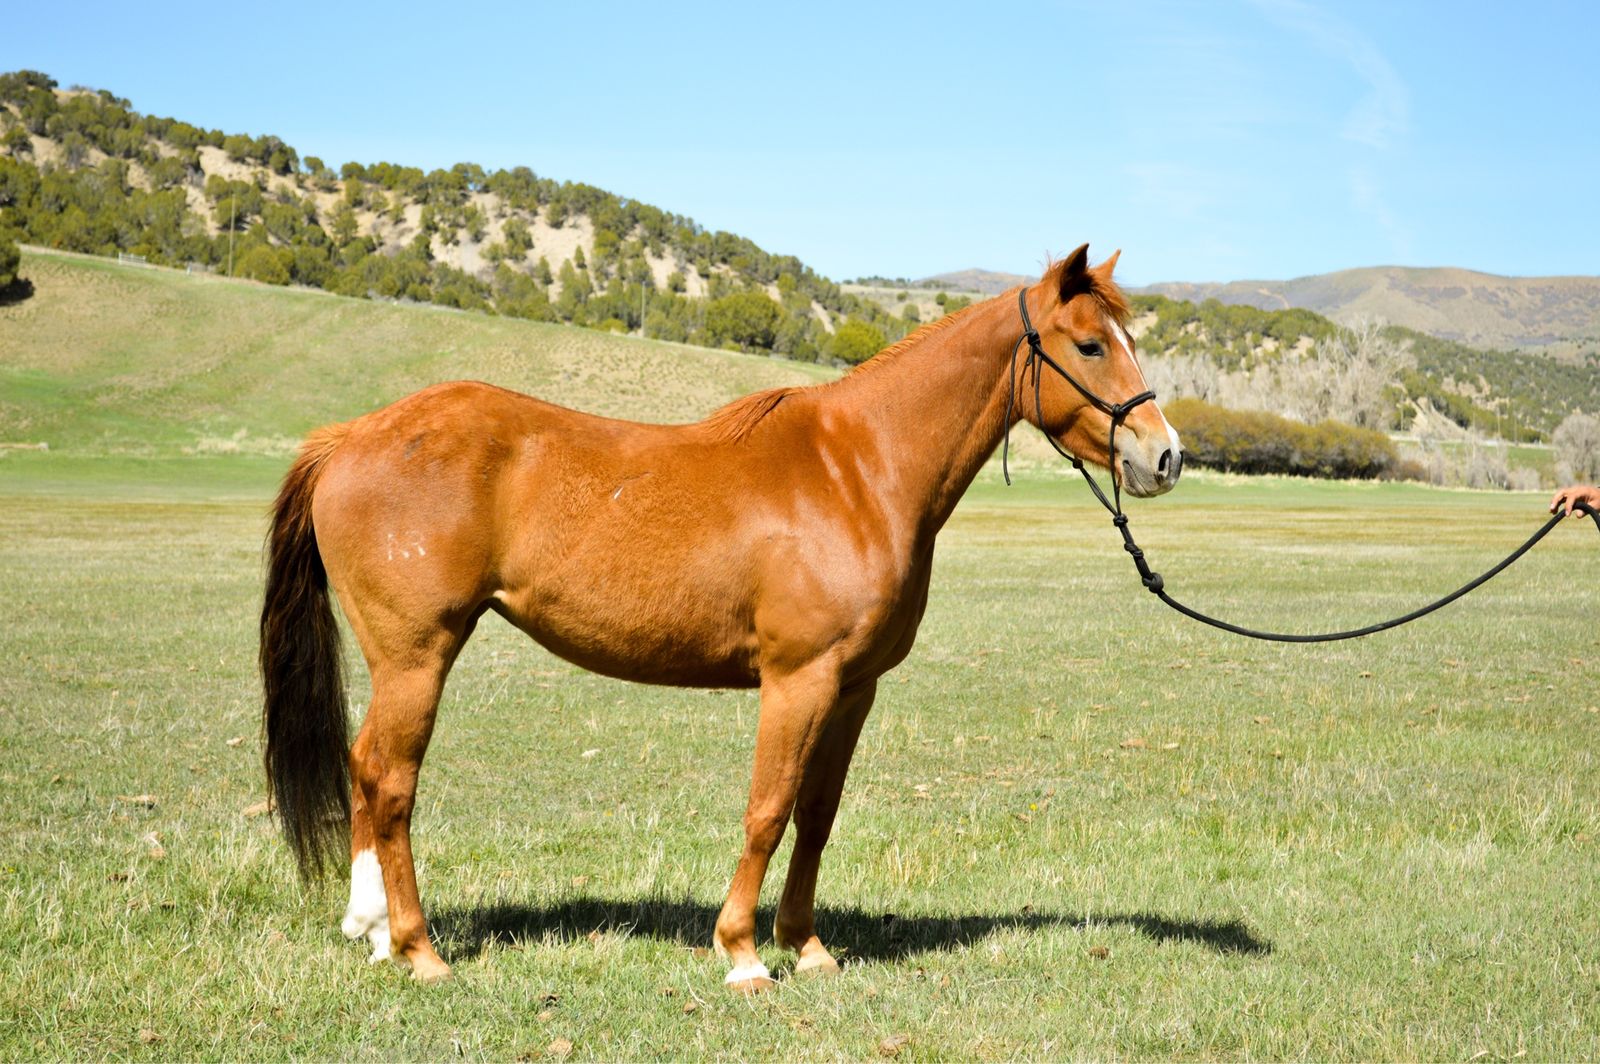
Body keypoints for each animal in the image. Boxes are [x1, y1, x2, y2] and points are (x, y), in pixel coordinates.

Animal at [258, 244, 1182, 990]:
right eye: (1091, 344)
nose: (1165, 456)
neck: (859, 469)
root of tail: (352, 437)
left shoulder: (853, 690)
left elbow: (816, 815)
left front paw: (807, 946)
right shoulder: (797, 680)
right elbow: (767, 809)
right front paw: (741, 954)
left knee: (364, 773)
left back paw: (373, 930)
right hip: (418, 655)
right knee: (389, 780)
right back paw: (418, 950)